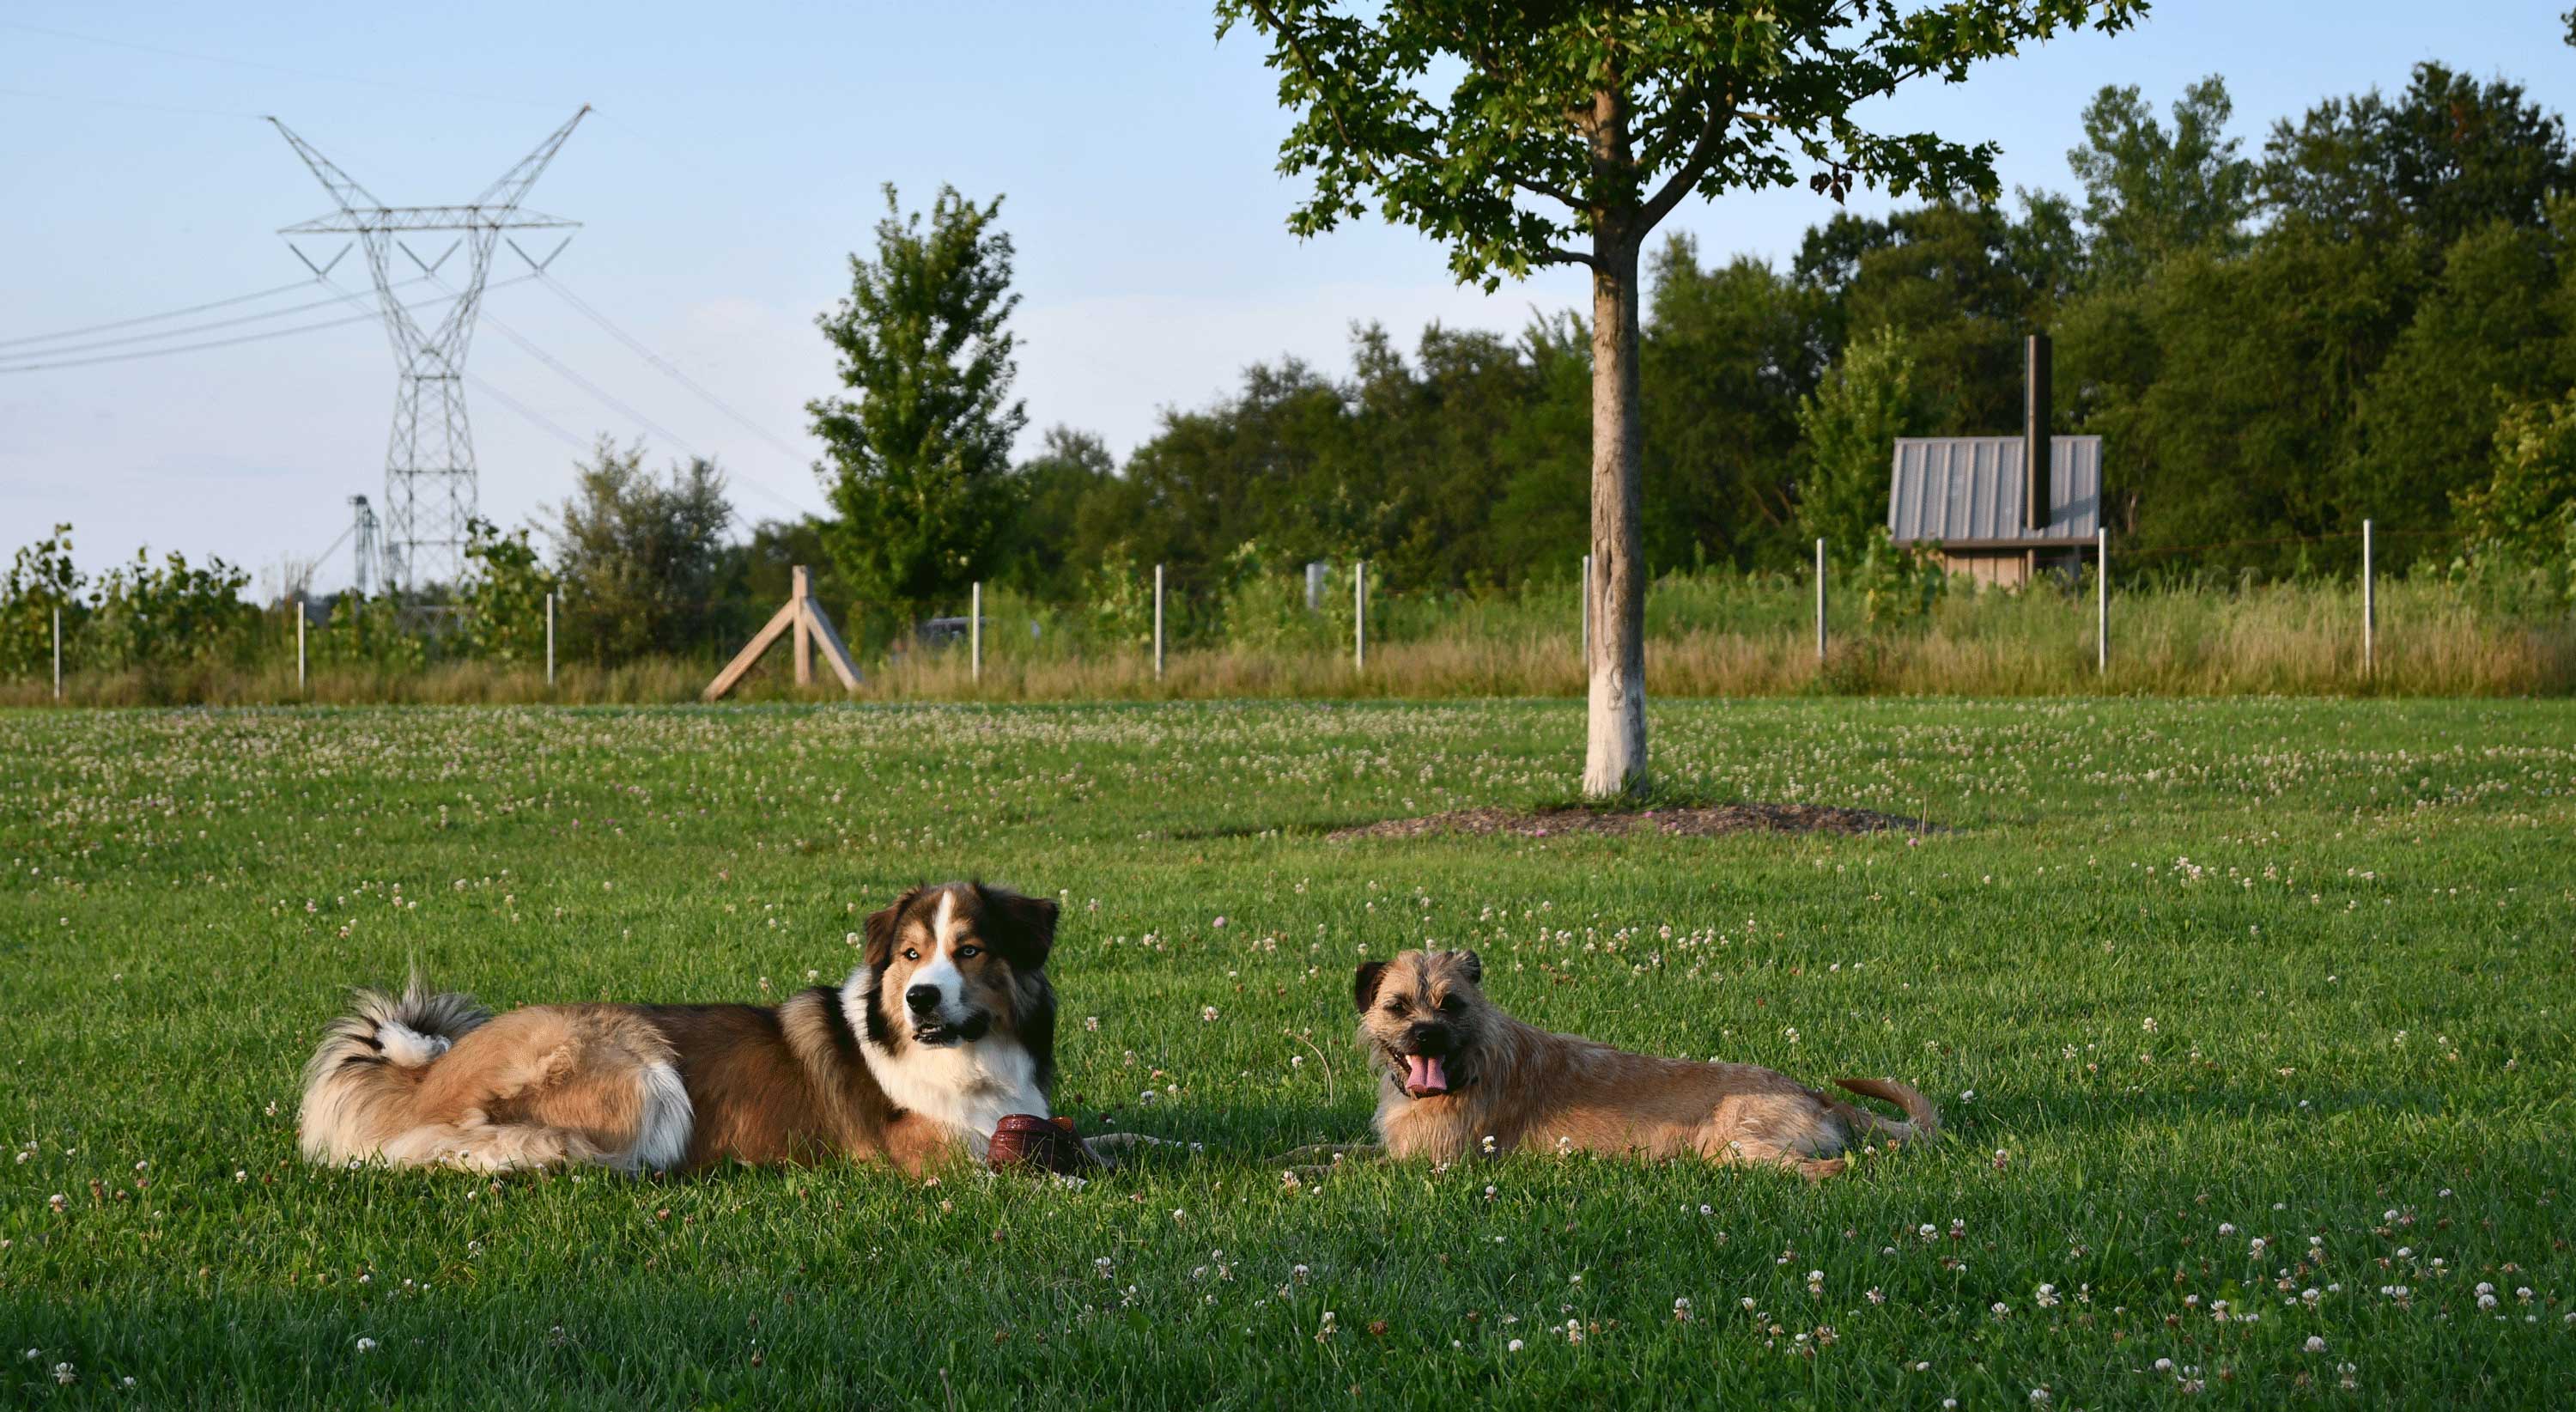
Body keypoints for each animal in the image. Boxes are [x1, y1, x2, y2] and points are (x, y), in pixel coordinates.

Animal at [299, 876, 1087, 1175]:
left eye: (970, 950)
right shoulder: (929, 1156)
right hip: (640, 1068)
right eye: (911, 955)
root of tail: (429, 1073)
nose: (921, 998)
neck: (973, 1056)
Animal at [1329, 948, 1937, 1180]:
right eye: (1397, 1006)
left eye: (1451, 1004)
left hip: (1731, 1145)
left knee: (1831, 1168)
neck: (1468, 1064)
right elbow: (1326, 1149)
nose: (1426, 1034)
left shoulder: (1423, 1162)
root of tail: (1819, 1095)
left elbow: (1335, 1165)